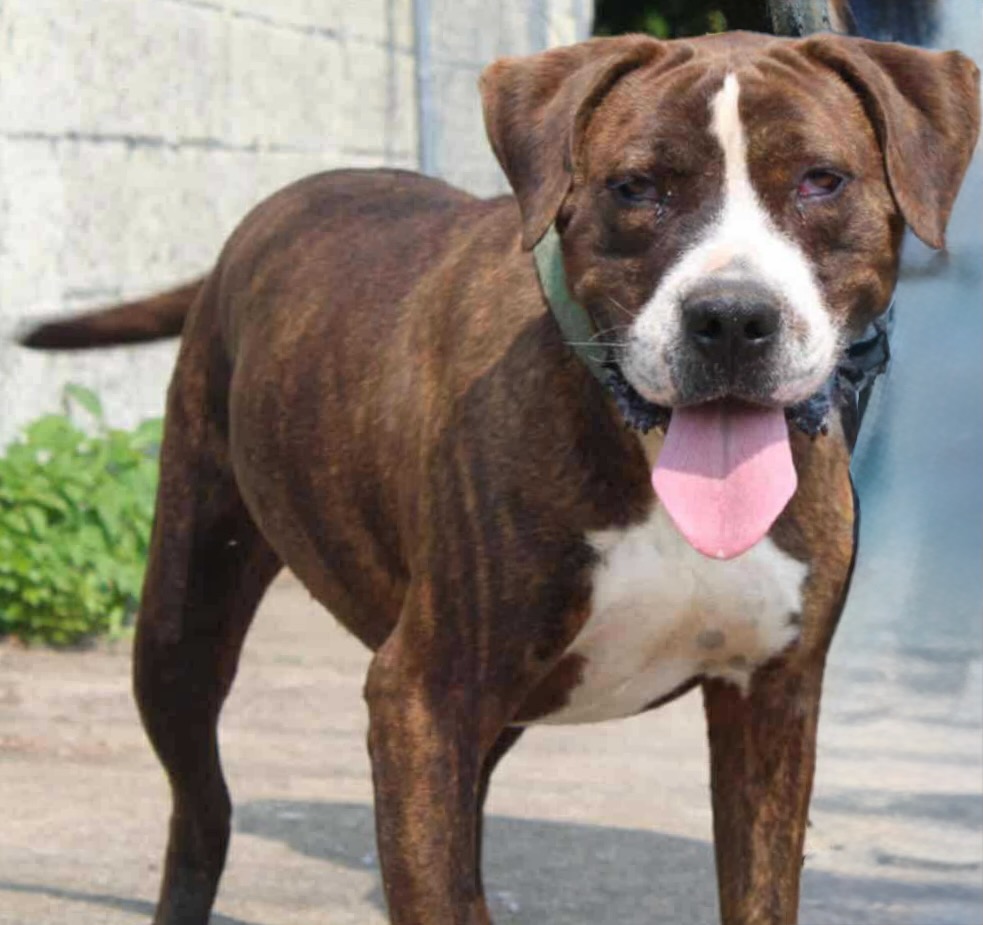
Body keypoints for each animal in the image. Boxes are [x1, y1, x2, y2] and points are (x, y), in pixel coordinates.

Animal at [21, 30, 979, 925]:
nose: (732, 317)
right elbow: (430, 879)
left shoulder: (770, 700)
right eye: (636, 187)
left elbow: (756, 887)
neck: (641, 444)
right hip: (185, 619)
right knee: (203, 806)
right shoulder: (422, 697)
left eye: (821, 180)